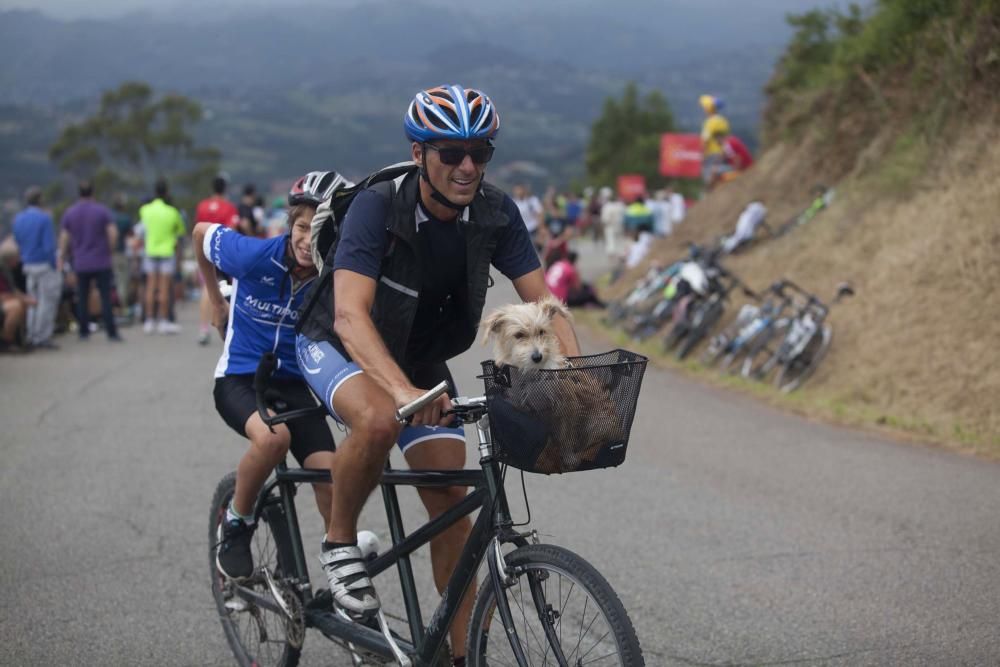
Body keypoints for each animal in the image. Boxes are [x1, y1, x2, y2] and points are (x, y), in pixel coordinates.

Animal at [480, 298, 620, 474]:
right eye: (519, 335)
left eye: (541, 332)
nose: (537, 356)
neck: (532, 375)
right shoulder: (525, 409)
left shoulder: (567, 407)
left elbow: (566, 436)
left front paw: (568, 457)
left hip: (596, 424)